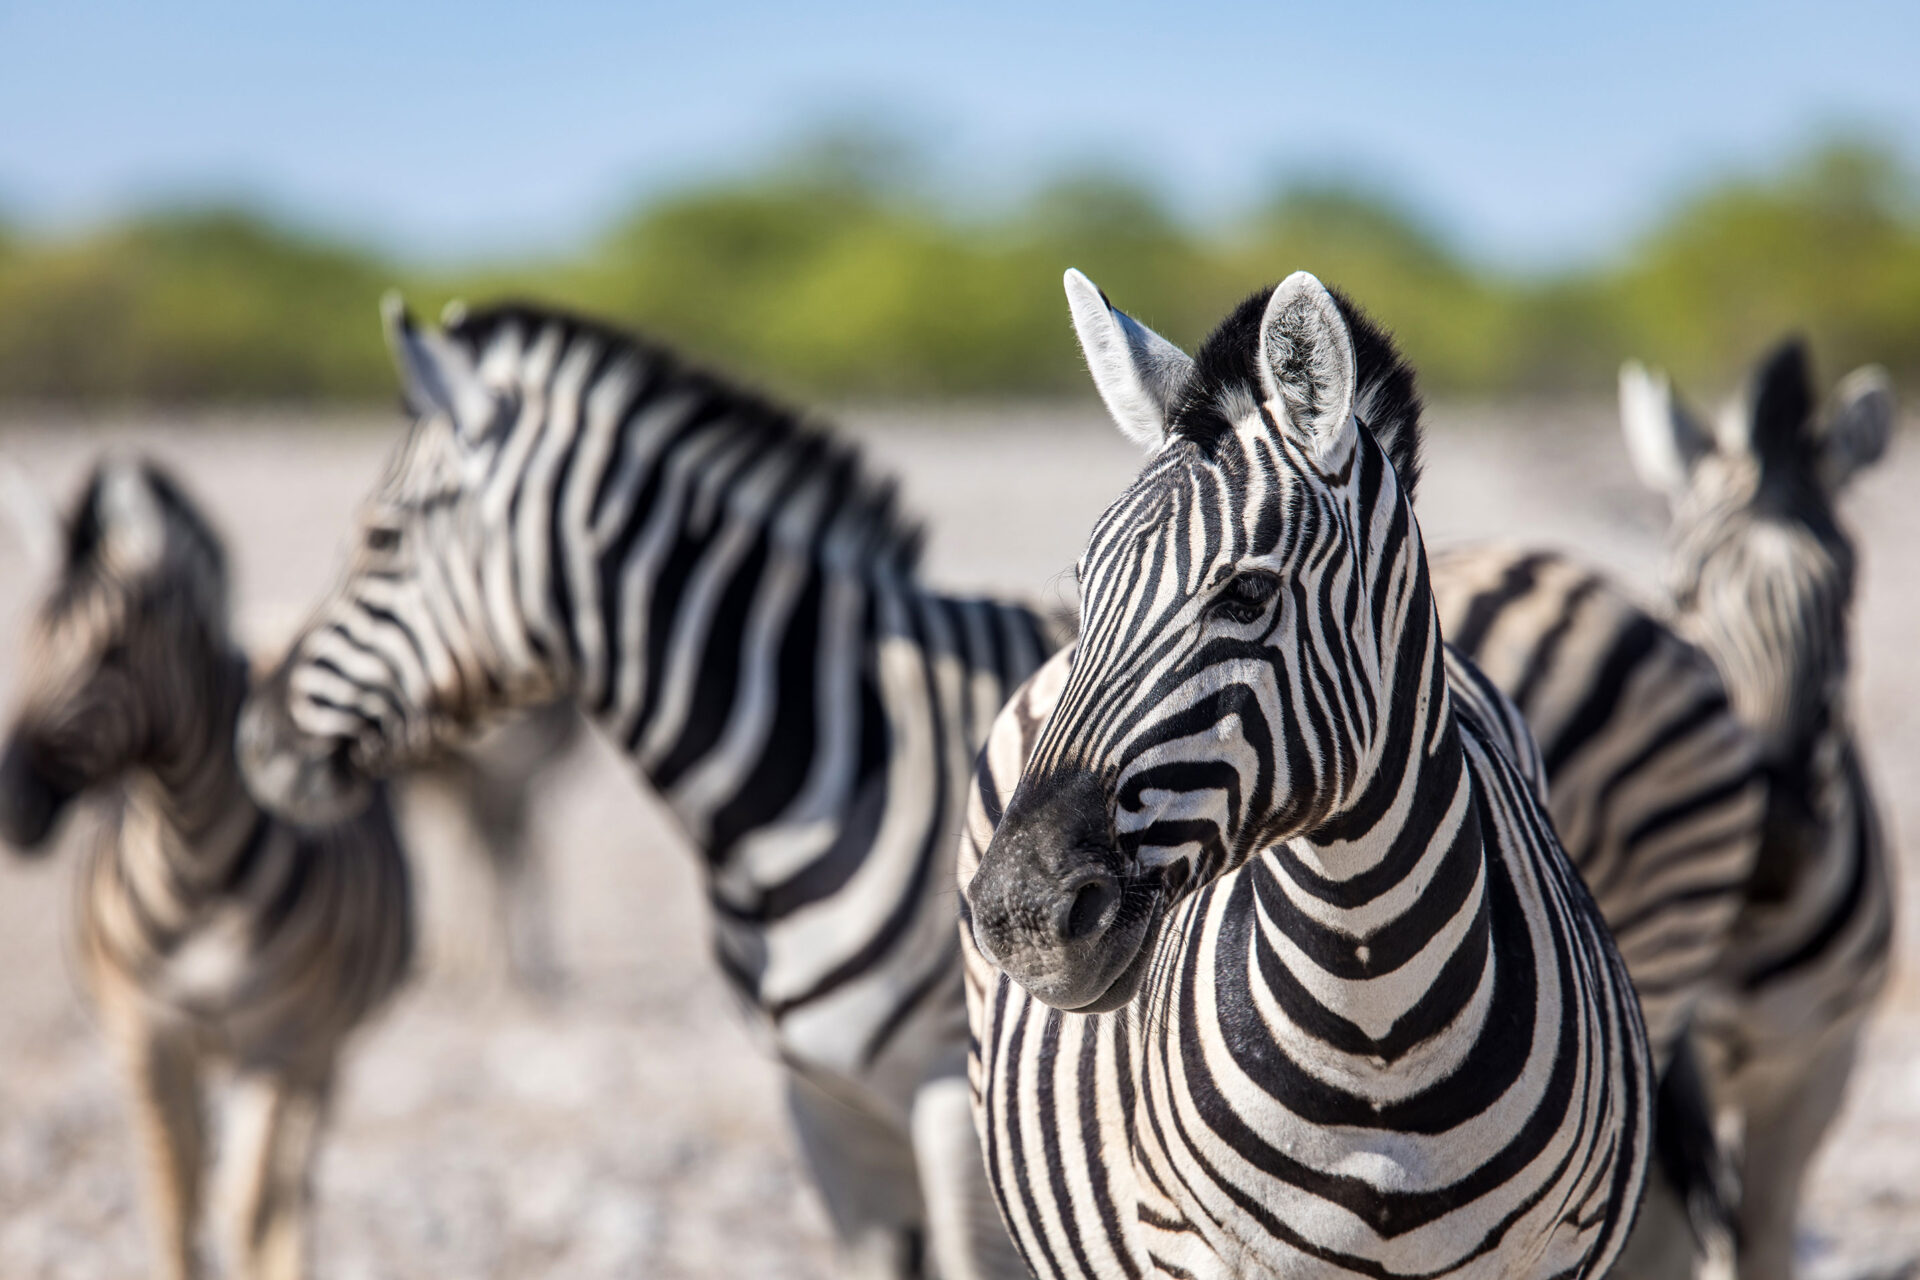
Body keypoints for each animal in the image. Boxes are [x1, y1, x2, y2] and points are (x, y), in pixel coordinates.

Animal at [0, 460, 413, 1280]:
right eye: (28, 643)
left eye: (112, 652)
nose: (11, 804)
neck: (194, 872)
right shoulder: (148, 1037)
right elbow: (175, 1204)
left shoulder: (282, 1040)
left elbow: (249, 1206)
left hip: (322, 1053)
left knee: (292, 1190)